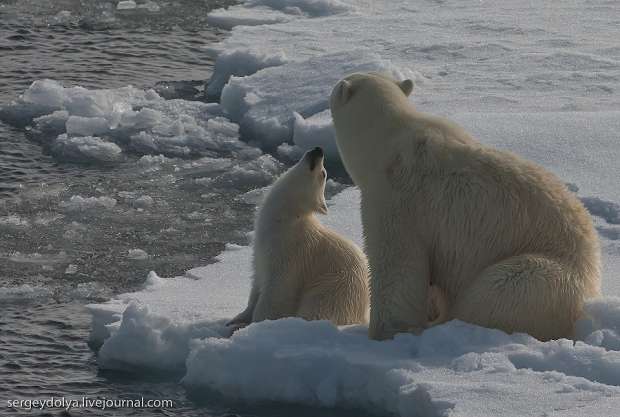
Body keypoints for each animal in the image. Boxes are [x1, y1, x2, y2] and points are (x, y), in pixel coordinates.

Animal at [330, 73, 600, 340]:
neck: (385, 140)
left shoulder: (396, 198)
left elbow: (396, 266)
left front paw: (385, 331)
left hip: (543, 274)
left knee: (494, 292)